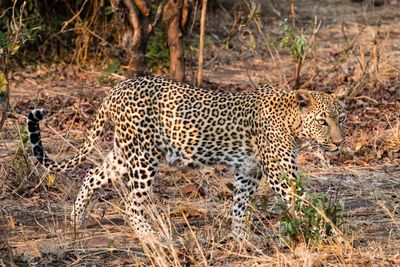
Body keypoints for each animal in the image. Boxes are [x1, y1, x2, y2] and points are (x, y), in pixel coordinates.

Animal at [28, 75, 346, 243]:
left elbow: (240, 204)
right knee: (131, 203)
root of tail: (116, 90)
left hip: (125, 152)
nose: (339, 142)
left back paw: (76, 220)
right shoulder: (280, 172)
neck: (293, 122)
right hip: (143, 157)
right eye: (322, 122)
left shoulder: (249, 170)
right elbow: (304, 203)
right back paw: (152, 237)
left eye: (340, 119)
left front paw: (240, 236)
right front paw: (325, 235)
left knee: (92, 174)